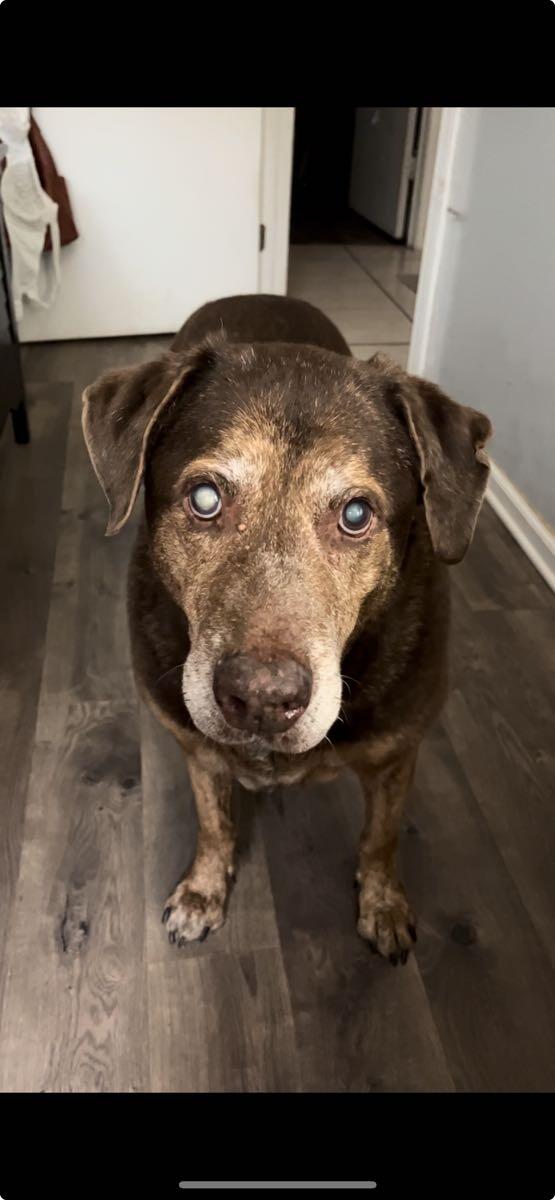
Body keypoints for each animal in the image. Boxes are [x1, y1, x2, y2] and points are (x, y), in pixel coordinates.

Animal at [81, 295, 490, 969]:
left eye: (357, 514)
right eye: (204, 498)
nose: (261, 699)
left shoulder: (397, 753)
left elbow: (381, 836)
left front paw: (382, 905)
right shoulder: (197, 749)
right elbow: (213, 823)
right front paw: (202, 892)